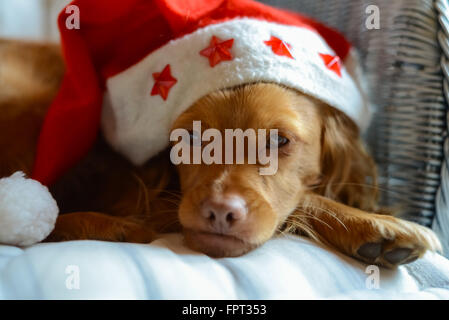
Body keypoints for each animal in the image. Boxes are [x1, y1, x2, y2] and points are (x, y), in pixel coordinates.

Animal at [0, 40, 440, 270]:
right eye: (192, 136)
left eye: (280, 141)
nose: (219, 213)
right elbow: (304, 200)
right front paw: (374, 224)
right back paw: (108, 226)